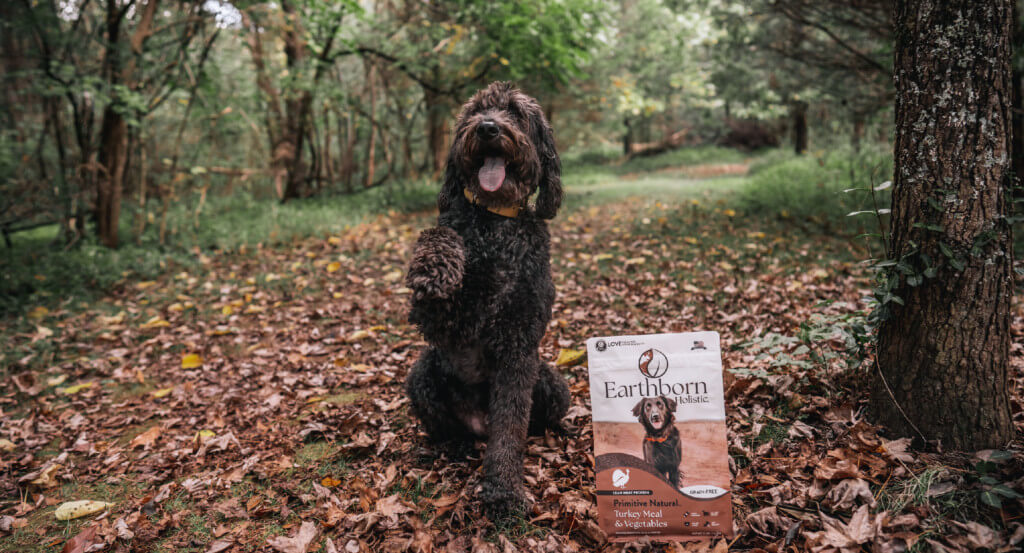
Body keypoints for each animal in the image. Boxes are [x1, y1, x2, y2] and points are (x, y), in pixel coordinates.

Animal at [405, 80, 569, 518]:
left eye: (516, 112)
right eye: (474, 111)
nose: (488, 128)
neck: (495, 221)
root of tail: (478, 424)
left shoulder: (519, 340)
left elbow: (510, 423)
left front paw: (504, 490)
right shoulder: (439, 319)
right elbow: (440, 234)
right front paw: (434, 267)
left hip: (553, 382)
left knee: (535, 419)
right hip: (421, 375)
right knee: (444, 429)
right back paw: (454, 447)